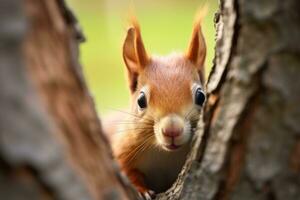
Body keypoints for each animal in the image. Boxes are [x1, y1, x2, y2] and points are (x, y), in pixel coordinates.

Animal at [103, 14, 206, 198]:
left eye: (201, 96)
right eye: (141, 100)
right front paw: (142, 190)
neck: (165, 155)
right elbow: (128, 172)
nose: (172, 130)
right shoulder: (123, 149)